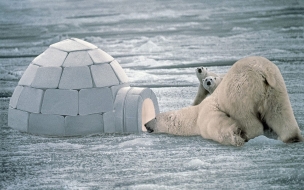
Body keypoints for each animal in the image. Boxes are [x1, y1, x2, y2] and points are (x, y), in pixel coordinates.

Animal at [146, 56, 302, 145]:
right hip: (275, 88)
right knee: (280, 112)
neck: (194, 115)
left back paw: (249, 133)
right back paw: (292, 137)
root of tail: (263, 70)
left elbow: (216, 125)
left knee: (245, 115)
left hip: (240, 90)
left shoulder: (206, 113)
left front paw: (235, 135)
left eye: (155, 117)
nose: (145, 124)